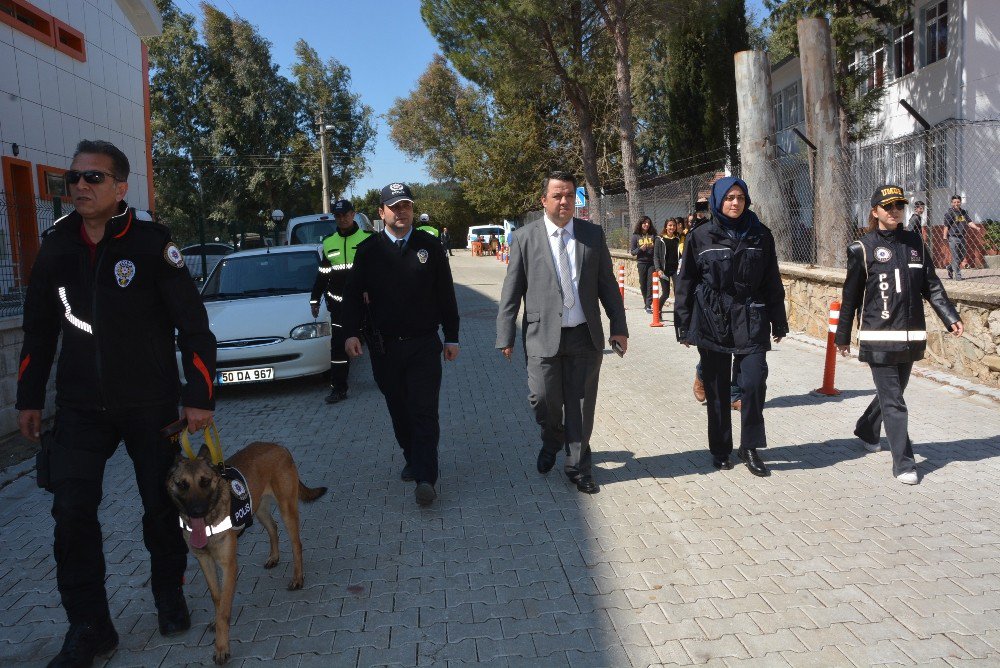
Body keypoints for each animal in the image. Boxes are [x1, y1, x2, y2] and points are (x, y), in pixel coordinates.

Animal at [166, 440, 326, 664]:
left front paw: (221, 647)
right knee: (273, 527)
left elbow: (224, 608)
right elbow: (217, 598)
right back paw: (274, 557)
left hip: (287, 508)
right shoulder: (205, 561)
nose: (196, 511)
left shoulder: (229, 565)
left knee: (297, 544)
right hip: (258, 508)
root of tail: (279, 446)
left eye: (205, 482)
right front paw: (216, 621)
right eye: (182, 484)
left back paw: (297, 578)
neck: (208, 523)